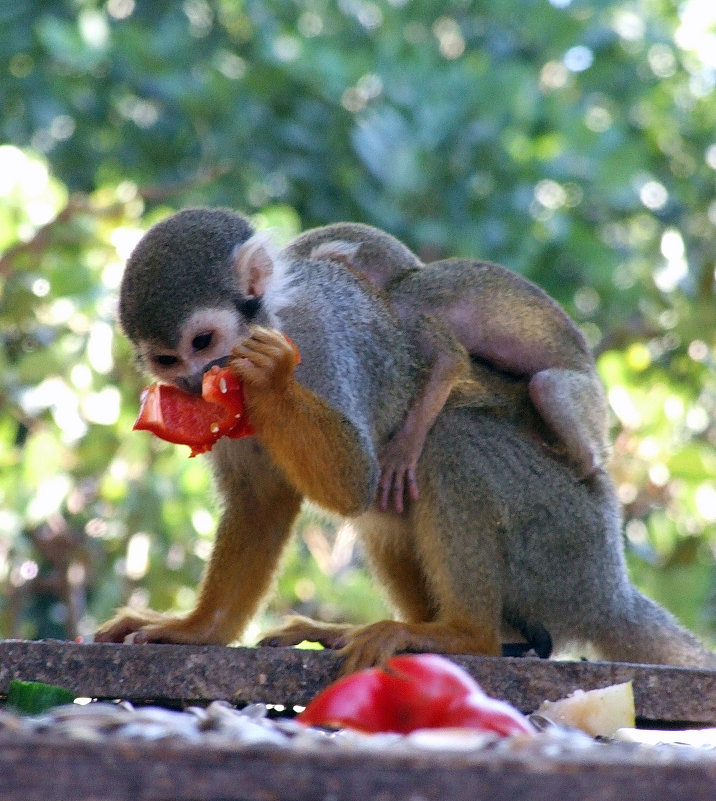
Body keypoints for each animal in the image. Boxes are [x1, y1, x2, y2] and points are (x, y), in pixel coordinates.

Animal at [290, 225, 608, 512]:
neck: (396, 282)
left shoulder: (405, 310)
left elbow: (450, 359)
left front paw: (405, 448)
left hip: (590, 400)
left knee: (547, 386)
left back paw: (586, 464)